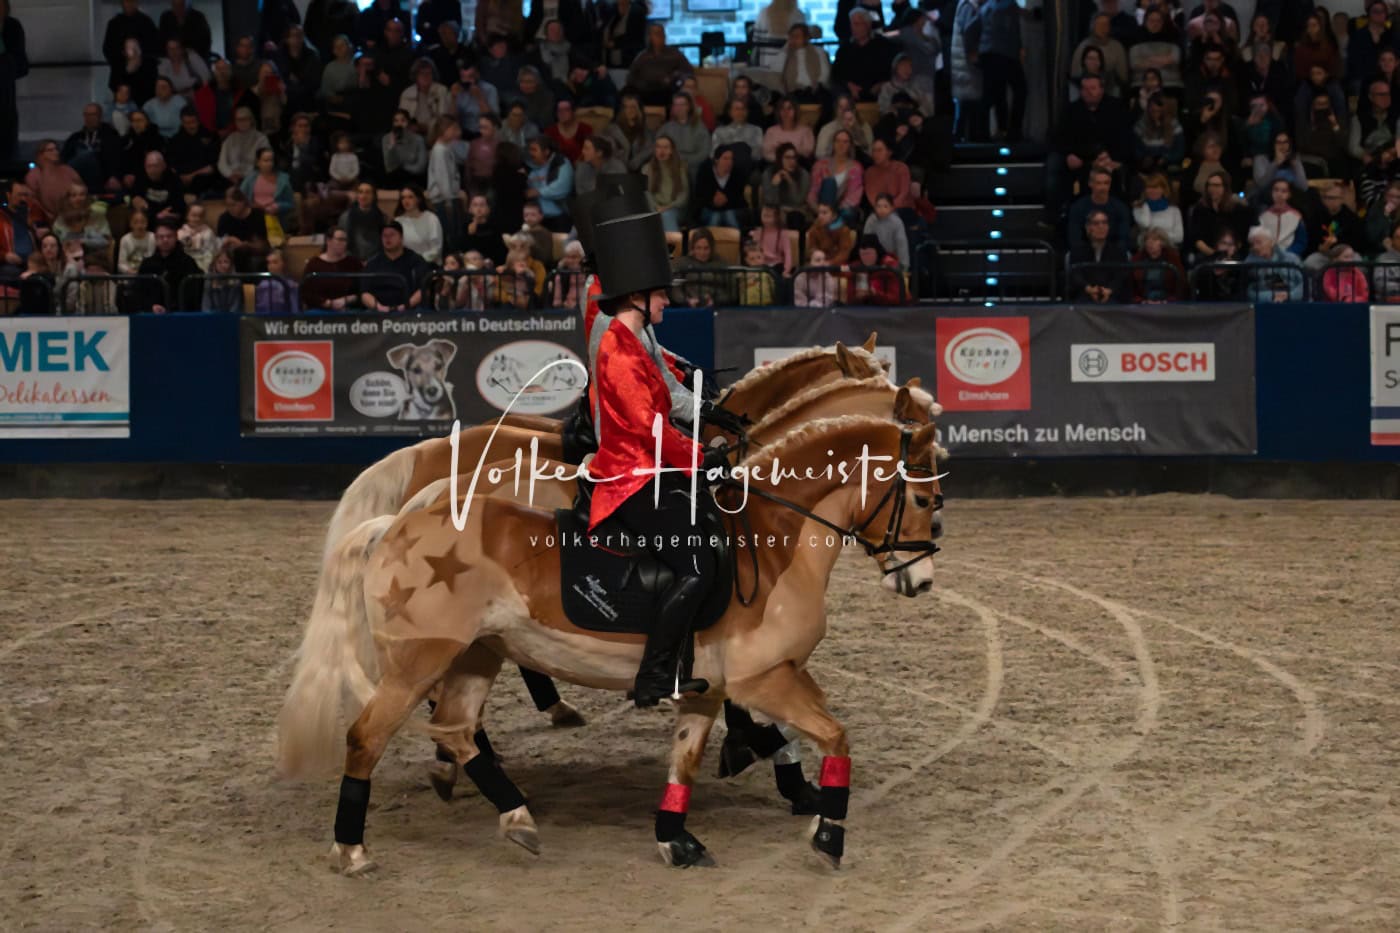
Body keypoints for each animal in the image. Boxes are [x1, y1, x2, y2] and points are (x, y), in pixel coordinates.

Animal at [277, 414, 944, 875]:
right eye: (922, 498)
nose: (920, 579)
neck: (773, 543)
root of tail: (395, 523)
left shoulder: (710, 689)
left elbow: (687, 759)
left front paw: (676, 838)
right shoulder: (766, 679)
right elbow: (836, 736)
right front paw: (828, 836)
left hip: (478, 653)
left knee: (459, 728)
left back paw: (517, 815)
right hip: (419, 663)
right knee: (368, 738)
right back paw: (352, 850)